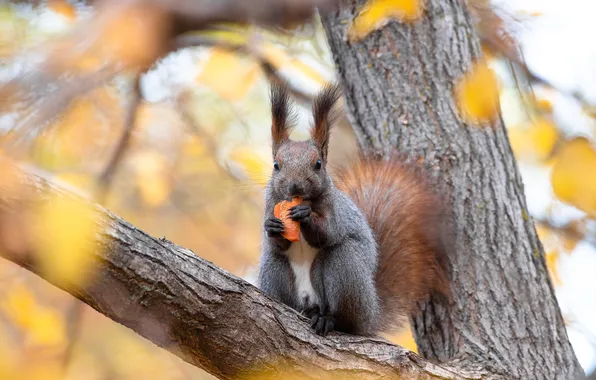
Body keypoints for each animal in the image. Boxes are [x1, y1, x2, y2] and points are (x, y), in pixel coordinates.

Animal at [258, 83, 450, 336]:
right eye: (276, 165)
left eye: (318, 164)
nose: (294, 186)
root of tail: (372, 312)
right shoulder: (270, 204)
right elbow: (276, 243)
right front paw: (272, 227)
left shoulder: (334, 210)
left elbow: (328, 232)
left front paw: (306, 216)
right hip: (274, 271)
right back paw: (305, 312)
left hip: (346, 270)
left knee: (345, 318)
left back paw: (328, 320)